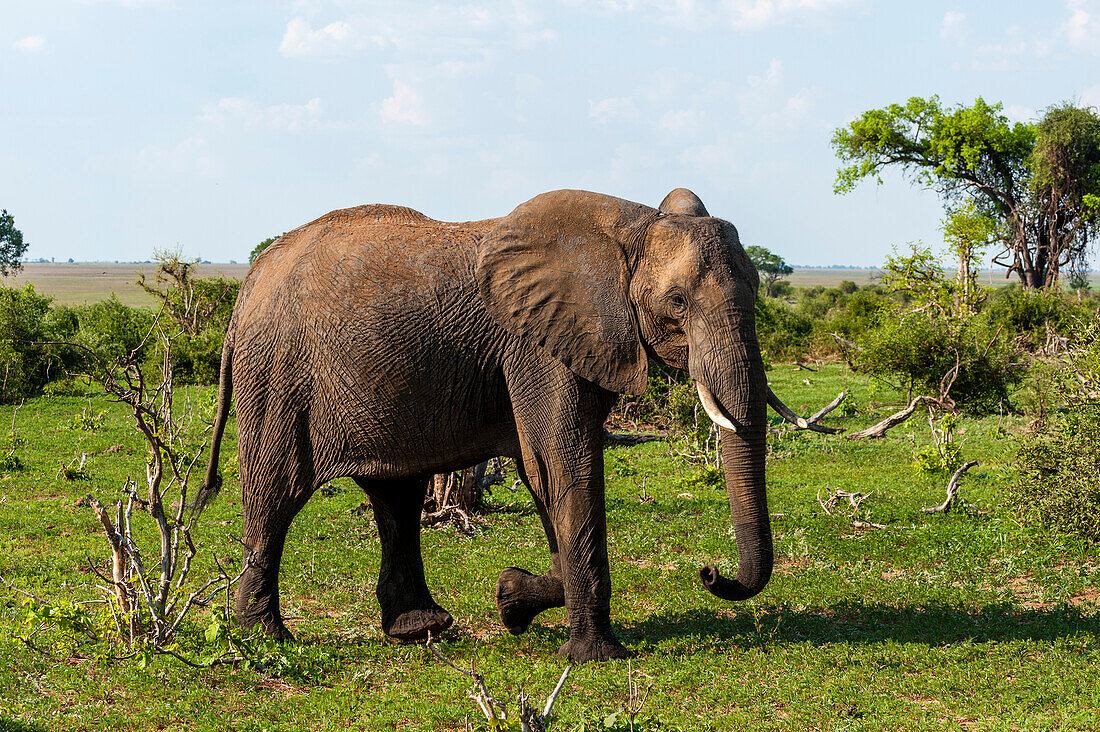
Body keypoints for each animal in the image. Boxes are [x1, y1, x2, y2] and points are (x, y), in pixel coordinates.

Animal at [202, 187, 778, 660]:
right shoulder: (536, 346)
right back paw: (265, 637)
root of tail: (247, 287)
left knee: (396, 497)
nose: (709, 571)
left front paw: (510, 599)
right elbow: (564, 465)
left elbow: (542, 474)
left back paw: (420, 628)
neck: (627, 229)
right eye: (676, 302)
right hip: (275, 377)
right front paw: (595, 657)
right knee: (277, 494)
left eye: (757, 289)